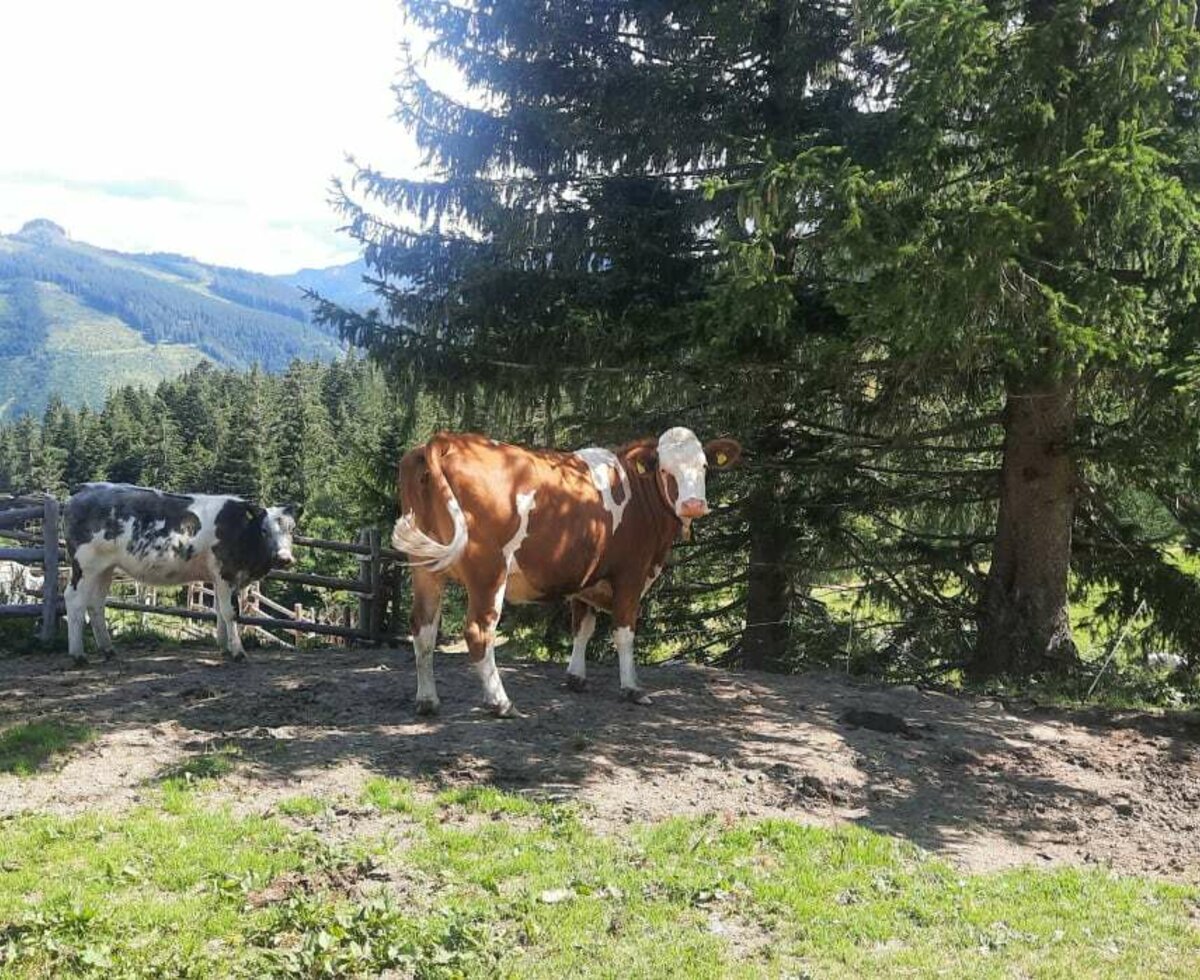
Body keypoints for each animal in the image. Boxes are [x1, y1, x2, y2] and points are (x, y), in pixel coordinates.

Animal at [64, 482, 300, 666]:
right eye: (264, 530)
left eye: (292, 530)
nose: (284, 558)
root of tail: (86, 489)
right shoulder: (226, 574)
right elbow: (231, 612)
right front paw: (238, 653)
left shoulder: (219, 578)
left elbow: (219, 612)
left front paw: (224, 649)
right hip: (85, 566)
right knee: (74, 600)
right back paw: (78, 655)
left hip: (105, 568)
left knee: (96, 603)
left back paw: (108, 650)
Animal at [393, 424, 734, 714]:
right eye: (665, 470)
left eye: (704, 467)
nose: (693, 504)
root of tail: (447, 440)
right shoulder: (631, 573)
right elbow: (624, 632)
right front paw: (632, 688)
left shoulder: (587, 577)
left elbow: (582, 627)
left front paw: (575, 677)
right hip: (488, 570)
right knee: (479, 631)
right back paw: (500, 702)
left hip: (425, 569)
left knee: (423, 628)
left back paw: (427, 700)